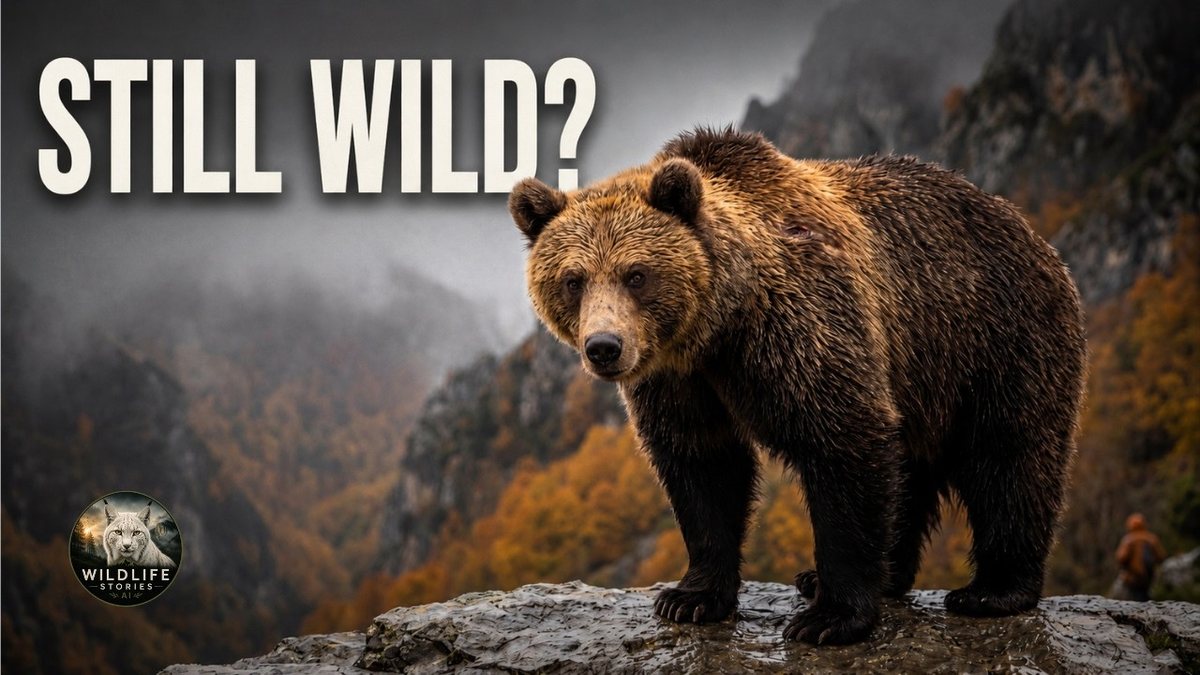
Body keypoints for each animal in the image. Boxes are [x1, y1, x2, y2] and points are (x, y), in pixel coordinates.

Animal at [508, 127, 1086, 645]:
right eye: (573, 279)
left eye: (636, 274)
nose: (605, 347)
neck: (718, 327)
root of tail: (1027, 228)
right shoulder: (680, 379)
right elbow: (702, 467)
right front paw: (691, 597)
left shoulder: (799, 324)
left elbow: (843, 439)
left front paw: (830, 617)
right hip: (922, 377)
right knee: (913, 469)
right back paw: (885, 575)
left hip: (993, 336)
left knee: (1009, 456)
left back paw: (993, 590)